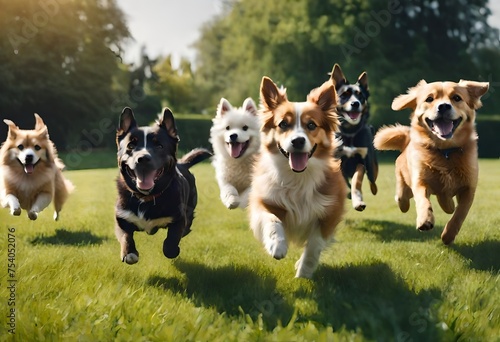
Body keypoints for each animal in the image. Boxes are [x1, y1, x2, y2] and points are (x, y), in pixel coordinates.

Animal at [115, 107, 211, 264]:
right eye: (131, 145)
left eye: (159, 145)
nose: (142, 159)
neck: (146, 198)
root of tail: (182, 164)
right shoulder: (121, 217)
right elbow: (125, 235)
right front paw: (129, 252)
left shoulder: (179, 218)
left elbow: (172, 240)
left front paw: (172, 250)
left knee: (187, 227)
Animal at [248, 77, 346, 278]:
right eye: (283, 124)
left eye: (311, 125)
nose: (298, 141)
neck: (298, 177)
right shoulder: (264, 200)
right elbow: (272, 220)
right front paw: (277, 245)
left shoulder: (331, 212)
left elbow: (315, 244)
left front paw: (304, 272)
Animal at [330, 62, 376, 210]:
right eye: (344, 95)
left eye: (361, 96)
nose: (355, 103)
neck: (349, 132)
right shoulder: (337, 160)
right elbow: (343, 180)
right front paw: (348, 192)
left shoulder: (361, 160)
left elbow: (357, 180)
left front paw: (358, 201)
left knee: (372, 180)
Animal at [376, 79, 488, 244]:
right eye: (429, 99)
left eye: (456, 98)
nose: (443, 106)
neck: (445, 151)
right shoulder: (420, 182)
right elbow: (423, 201)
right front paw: (425, 220)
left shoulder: (469, 188)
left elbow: (460, 213)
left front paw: (448, 235)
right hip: (404, 183)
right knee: (403, 197)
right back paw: (403, 202)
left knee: (447, 203)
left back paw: (449, 205)